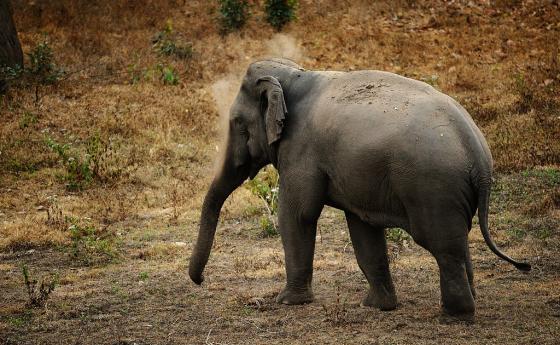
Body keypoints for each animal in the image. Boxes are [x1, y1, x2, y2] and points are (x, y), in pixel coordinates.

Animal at [189, 58, 528, 320]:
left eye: (237, 123)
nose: (200, 280)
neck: (296, 74)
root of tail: (478, 154)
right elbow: (363, 228)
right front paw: (378, 307)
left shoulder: (301, 150)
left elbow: (297, 215)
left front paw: (287, 302)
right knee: (459, 243)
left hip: (434, 189)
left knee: (444, 247)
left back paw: (453, 315)